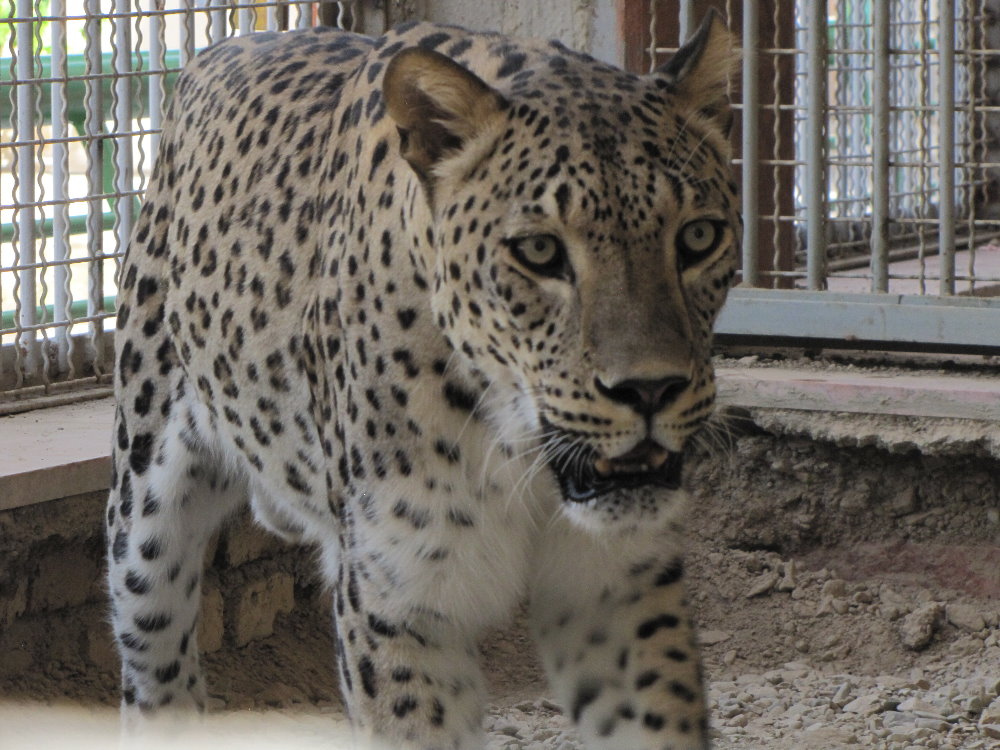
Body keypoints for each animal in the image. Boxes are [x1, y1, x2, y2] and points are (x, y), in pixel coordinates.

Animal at [107, 13, 740, 750]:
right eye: (540, 251)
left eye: (698, 239)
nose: (649, 391)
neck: (516, 449)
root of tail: (223, 47)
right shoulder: (398, 608)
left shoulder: (619, 590)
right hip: (143, 515)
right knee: (153, 659)